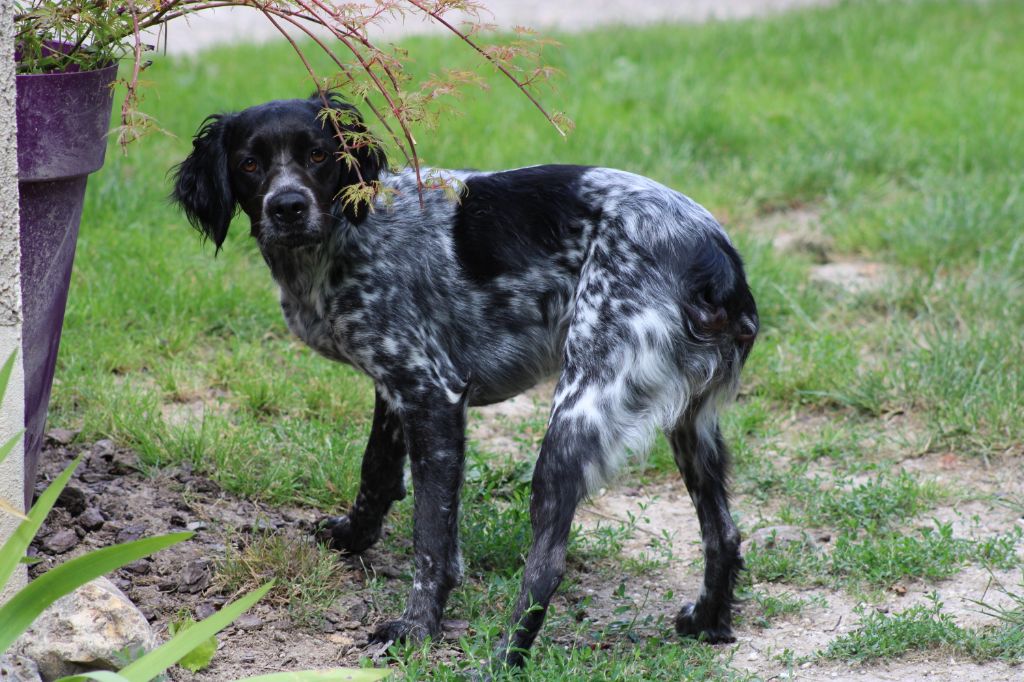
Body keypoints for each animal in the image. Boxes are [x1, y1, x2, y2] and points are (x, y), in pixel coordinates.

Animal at [172, 94, 757, 663]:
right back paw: (709, 622)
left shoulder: (433, 396)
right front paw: (352, 537)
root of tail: (714, 256)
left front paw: (416, 628)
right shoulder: (397, 385)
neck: (346, 236)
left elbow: (431, 538)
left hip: (578, 415)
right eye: (249, 163)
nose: (288, 207)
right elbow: (376, 473)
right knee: (723, 533)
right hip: (691, 424)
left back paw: (505, 657)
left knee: (548, 561)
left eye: (317, 155)